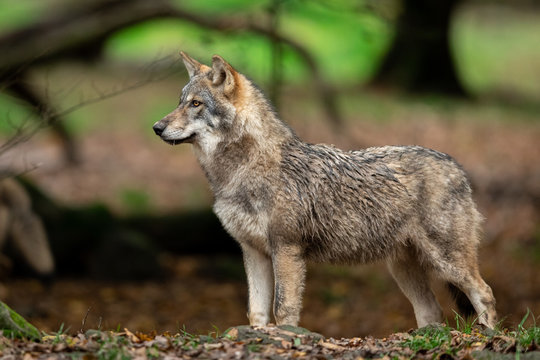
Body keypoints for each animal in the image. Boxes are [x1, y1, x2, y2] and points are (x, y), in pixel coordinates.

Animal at [153, 52, 498, 330]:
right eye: (180, 102)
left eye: (196, 104)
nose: (157, 127)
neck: (239, 173)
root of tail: (456, 165)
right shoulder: (252, 252)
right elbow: (257, 313)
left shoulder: (286, 250)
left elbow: (283, 309)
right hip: (403, 269)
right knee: (432, 312)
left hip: (447, 262)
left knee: (484, 293)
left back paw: (488, 337)